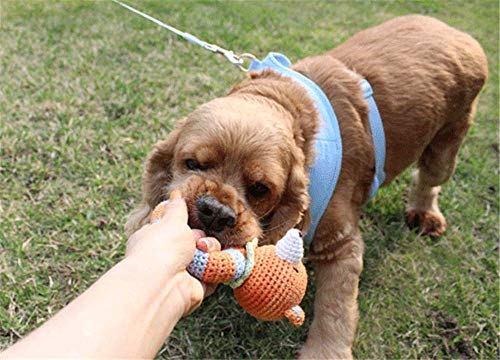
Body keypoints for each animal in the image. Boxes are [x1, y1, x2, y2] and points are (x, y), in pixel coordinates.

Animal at [127, 15, 486, 358]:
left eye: (260, 188)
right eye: (192, 163)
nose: (215, 212)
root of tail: (454, 30)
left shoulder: (342, 245)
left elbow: (336, 309)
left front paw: (326, 352)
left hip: (447, 145)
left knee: (428, 180)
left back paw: (425, 215)